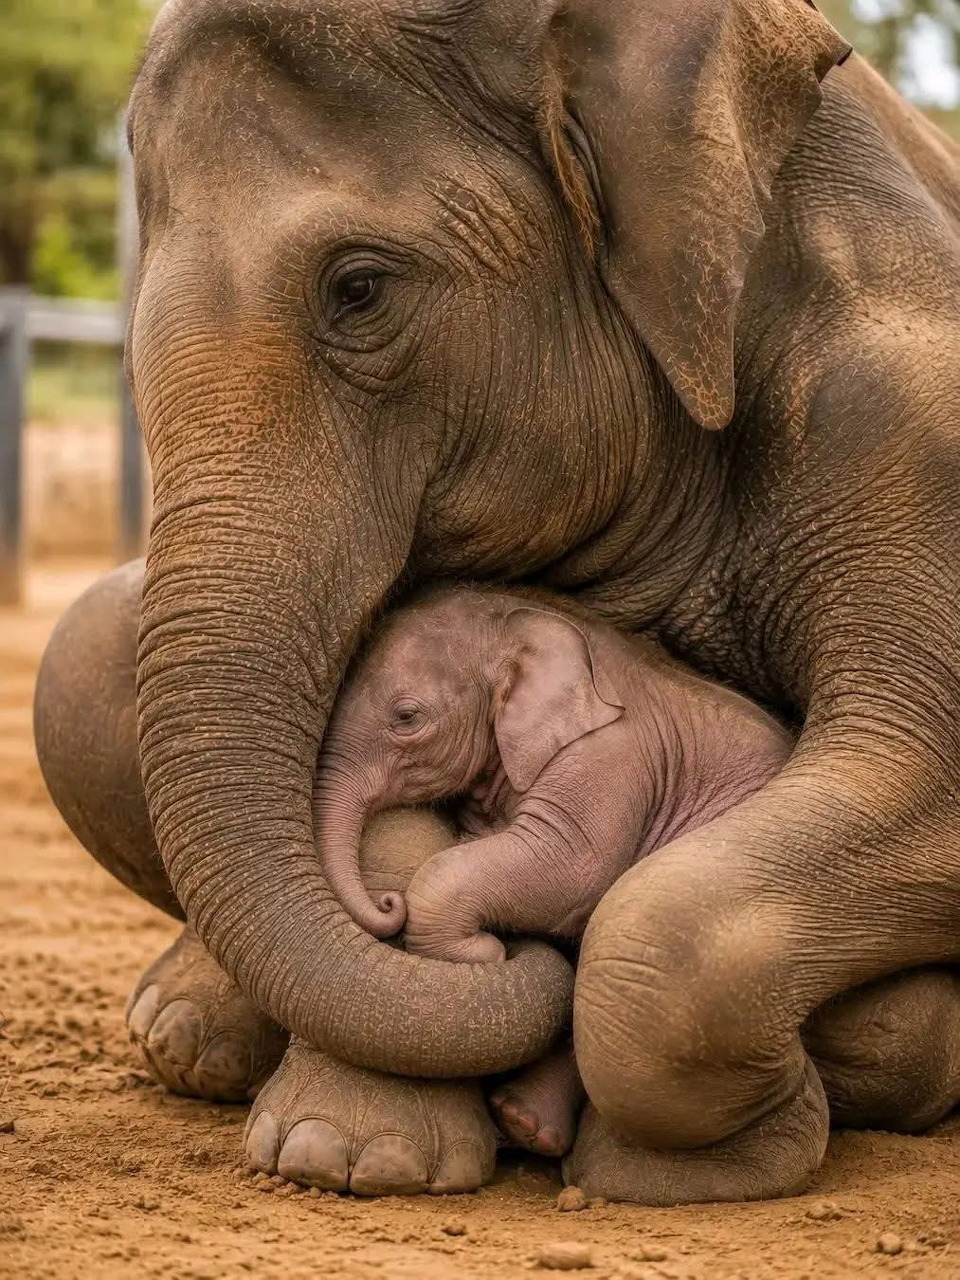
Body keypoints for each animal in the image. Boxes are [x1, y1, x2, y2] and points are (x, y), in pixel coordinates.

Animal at [313, 583, 794, 966]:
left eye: (407, 717)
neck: (522, 621)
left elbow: (572, 865)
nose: (386, 902)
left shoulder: (611, 754)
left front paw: (486, 950)